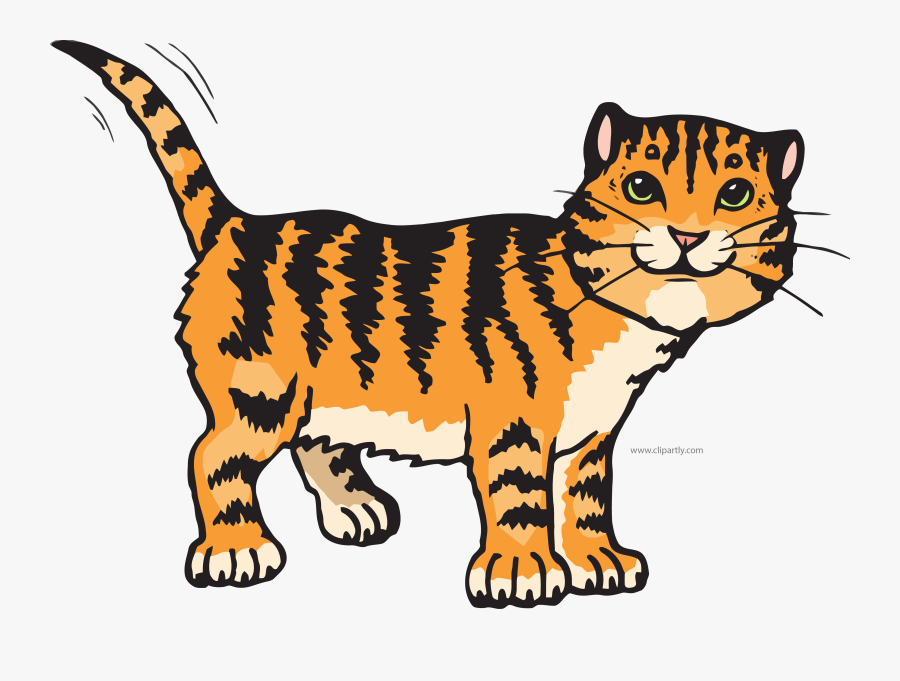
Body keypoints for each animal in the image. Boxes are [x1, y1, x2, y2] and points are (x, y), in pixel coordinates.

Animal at [53, 40, 806, 608]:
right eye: (642, 187)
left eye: (734, 193)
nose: (687, 234)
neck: (623, 324)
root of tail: (239, 223)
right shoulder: (513, 418)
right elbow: (519, 494)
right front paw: (523, 572)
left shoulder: (593, 430)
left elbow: (588, 494)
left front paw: (600, 559)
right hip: (260, 391)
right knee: (213, 457)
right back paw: (238, 550)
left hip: (329, 392)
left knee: (315, 444)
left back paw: (355, 507)